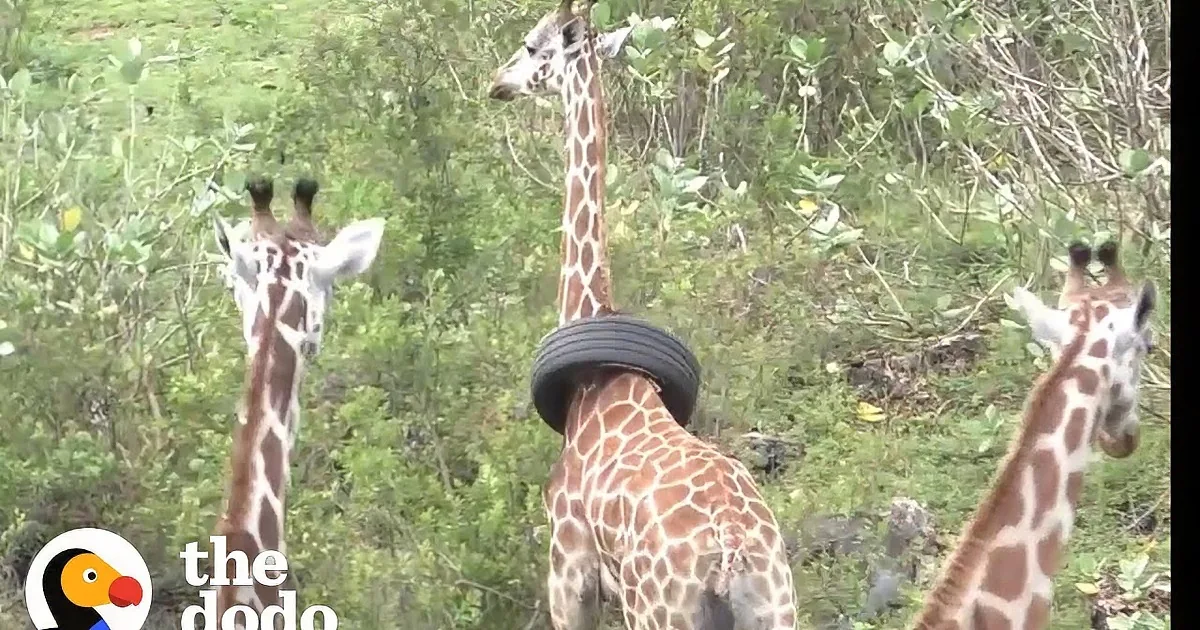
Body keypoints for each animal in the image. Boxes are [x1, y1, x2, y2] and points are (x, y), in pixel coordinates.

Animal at [489, 3, 796, 628]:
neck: (592, 384)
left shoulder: (569, 569)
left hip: (656, 609)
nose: (497, 83)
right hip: (777, 605)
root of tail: (731, 546)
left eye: (532, 46)